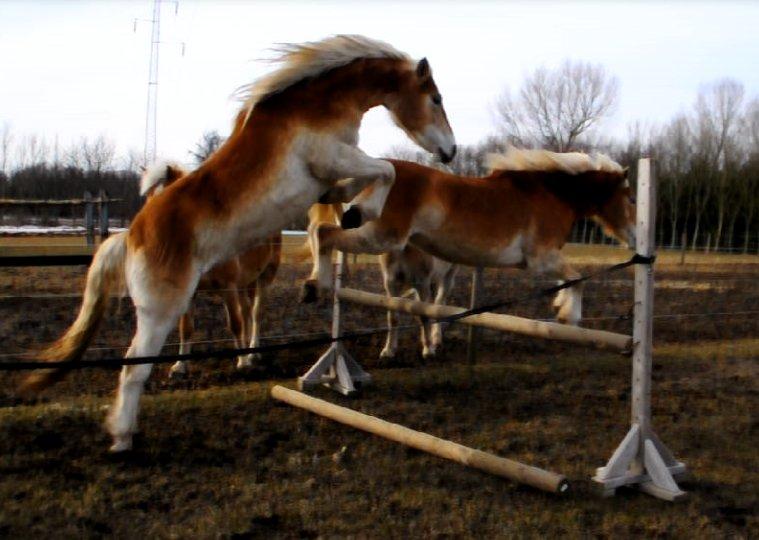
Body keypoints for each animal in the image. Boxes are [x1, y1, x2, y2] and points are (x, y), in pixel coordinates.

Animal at [138, 162, 280, 378]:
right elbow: (186, 328)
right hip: (244, 284)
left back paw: (252, 353)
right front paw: (180, 367)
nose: (149, 231)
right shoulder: (192, 293)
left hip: (264, 277)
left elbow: (235, 324)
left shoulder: (228, 287)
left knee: (255, 314)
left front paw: (242, 362)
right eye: (147, 197)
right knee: (246, 312)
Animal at [302, 146, 636, 326]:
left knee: (324, 233)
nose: (634, 237)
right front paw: (570, 316)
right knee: (325, 233)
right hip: (383, 237)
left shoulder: (546, 260)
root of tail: (385, 167)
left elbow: (568, 280)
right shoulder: (540, 259)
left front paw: (560, 307)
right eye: (631, 198)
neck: (552, 194)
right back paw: (316, 286)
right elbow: (578, 279)